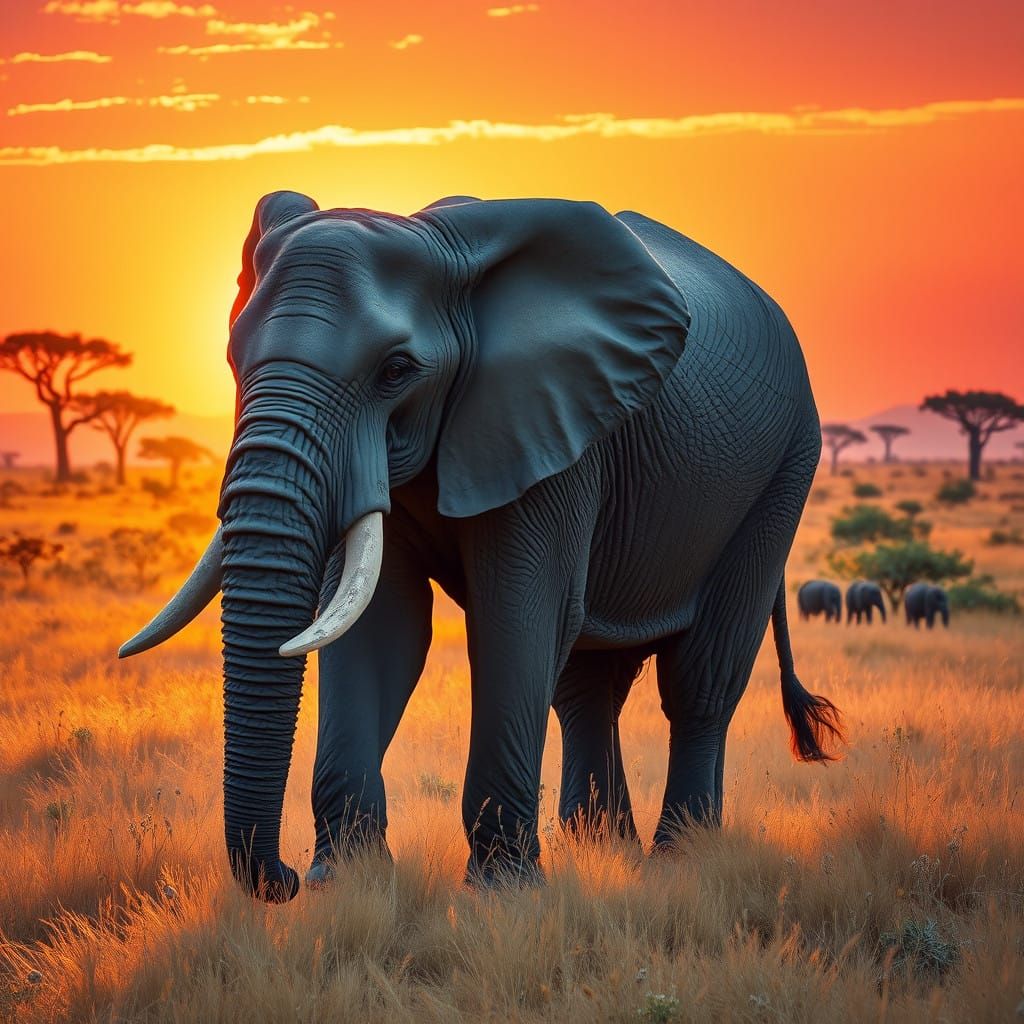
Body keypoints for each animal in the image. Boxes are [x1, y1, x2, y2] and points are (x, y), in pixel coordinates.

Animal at [119, 192, 844, 902]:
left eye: (396, 371)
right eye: (233, 360)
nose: (283, 880)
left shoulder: (550, 432)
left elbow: (515, 616)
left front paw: (503, 893)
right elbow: (381, 627)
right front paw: (348, 884)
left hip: (784, 468)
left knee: (700, 677)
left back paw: (679, 859)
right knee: (588, 682)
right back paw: (604, 851)